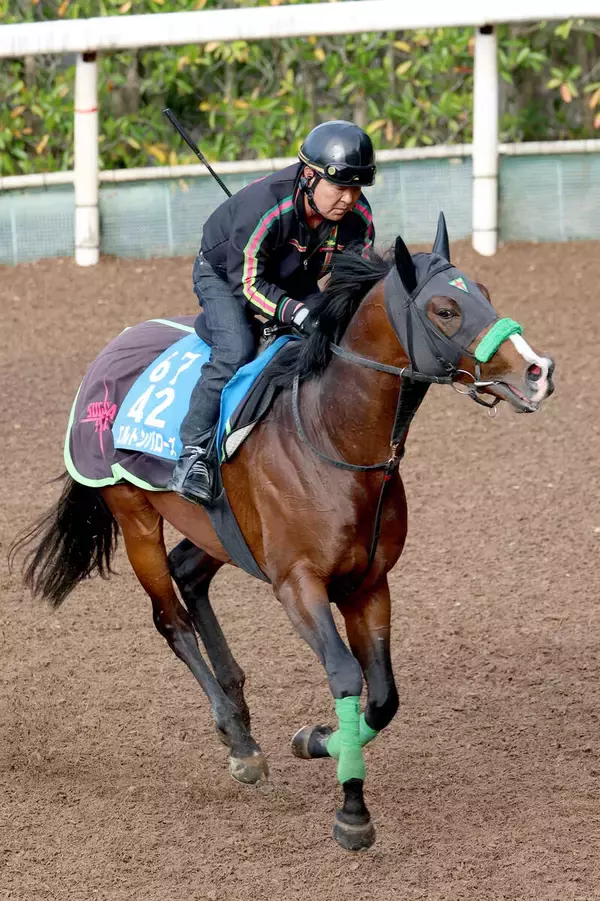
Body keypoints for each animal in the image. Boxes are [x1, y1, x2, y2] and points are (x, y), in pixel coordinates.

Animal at [10, 216, 555, 852]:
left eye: (486, 292)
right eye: (445, 309)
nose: (537, 371)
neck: (333, 437)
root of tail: (110, 351)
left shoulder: (369, 584)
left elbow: (384, 697)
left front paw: (317, 740)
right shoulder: (298, 583)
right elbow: (344, 676)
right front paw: (352, 809)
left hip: (218, 532)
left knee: (189, 576)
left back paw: (239, 713)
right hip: (134, 514)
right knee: (170, 617)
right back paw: (240, 742)